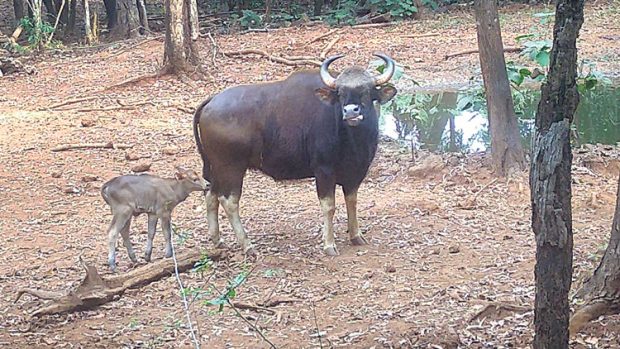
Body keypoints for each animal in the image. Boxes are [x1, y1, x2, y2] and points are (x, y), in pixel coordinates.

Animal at [194, 53, 398, 256]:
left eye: (367, 91)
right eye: (340, 93)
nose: (350, 111)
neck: (351, 139)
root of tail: (212, 101)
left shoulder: (356, 171)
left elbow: (352, 201)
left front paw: (356, 236)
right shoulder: (324, 171)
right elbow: (329, 206)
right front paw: (329, 244)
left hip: (215, 167)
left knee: (211, 194)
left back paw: (217, 240)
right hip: (231, 167)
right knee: (229, 201)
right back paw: (247, 245)